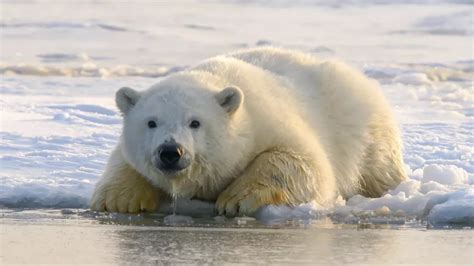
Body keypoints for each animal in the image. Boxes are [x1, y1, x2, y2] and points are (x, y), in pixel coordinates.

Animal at [90, 46, 408, 215]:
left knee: (379, 169)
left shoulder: (269, 121)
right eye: (151, 122)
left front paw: (235, 200)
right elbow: (122, 160)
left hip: (365, 131)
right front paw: (121, 200)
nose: (171, 152)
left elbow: (302, 162)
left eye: (195, 122)